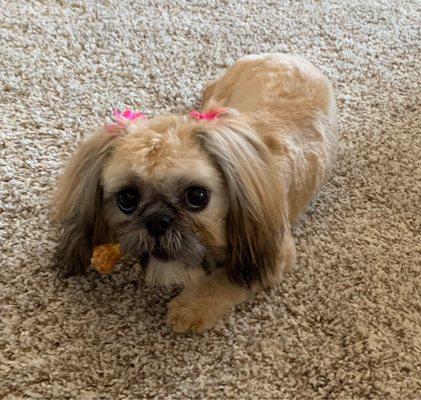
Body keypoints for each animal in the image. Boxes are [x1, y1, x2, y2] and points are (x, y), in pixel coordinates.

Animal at [54, 54, 338, 332]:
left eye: (197, 196)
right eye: (126, 199)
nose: (156, 221)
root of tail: (288, 56)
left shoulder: (274, 253)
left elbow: (225, 280)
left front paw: (191, 307)